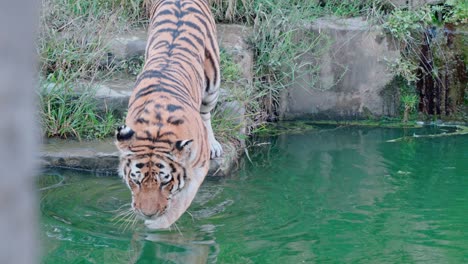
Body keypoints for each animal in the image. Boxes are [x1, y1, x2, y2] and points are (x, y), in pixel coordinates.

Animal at [114, 0, 222, 229]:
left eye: (165, 181)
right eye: (135, 180)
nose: (146, 213)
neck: (157, 127)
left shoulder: (198, 168)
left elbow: (180, 202)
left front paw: (156, 228)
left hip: (212, 84)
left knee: (206, 113)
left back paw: (214, 145)